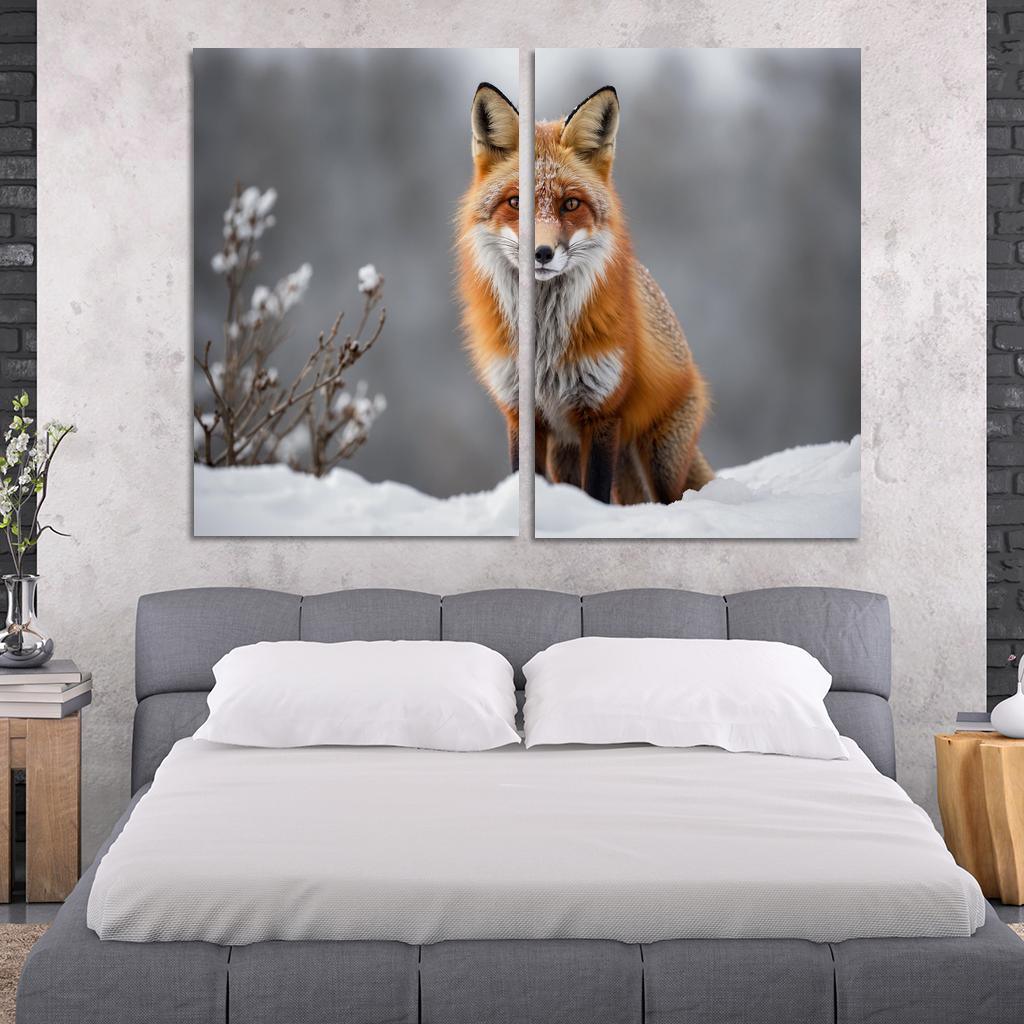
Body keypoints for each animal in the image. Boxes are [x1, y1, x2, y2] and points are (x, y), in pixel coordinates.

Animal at [458, 82, 713, 504]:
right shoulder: (520, 411)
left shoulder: (601, 411)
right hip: (567, 457)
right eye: (515, 202)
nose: (541, 253)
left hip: (659, 460)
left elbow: (596, 493)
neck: (544, 344)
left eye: (571, 204)